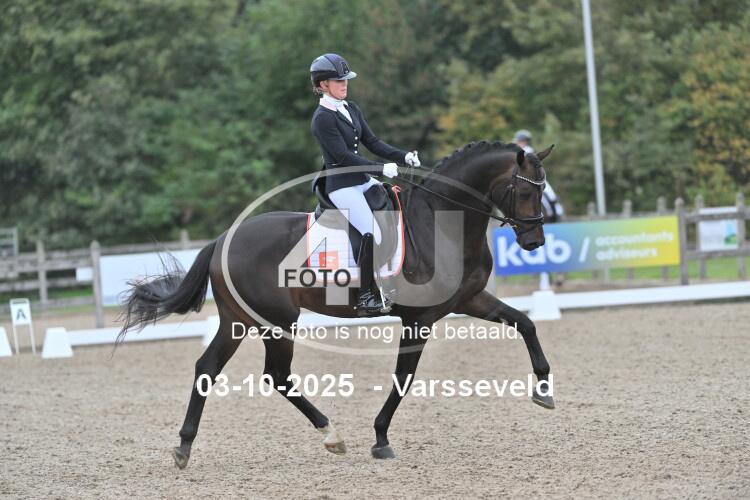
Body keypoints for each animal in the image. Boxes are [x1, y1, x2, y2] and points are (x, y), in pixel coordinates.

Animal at [117, 140, 555, 468]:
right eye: (527, 191)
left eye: (542, 188)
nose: (534, 243)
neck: (441, 224)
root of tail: (223, 239)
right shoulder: (419, 318)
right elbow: (403, 378)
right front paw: (380, 438)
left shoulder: (471, 299)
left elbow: (526, 323)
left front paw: (544, 390)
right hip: (278, 322)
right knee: (276, 375)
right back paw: (332, 436)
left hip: (237, 320)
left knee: (208, 368)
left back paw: (184, 447)